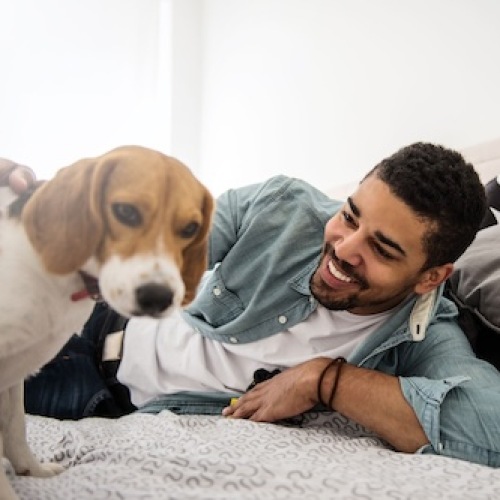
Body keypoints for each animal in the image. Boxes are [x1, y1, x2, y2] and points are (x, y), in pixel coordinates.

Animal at [0, 146, 213, 498]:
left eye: (190, 228)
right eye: (125, 212)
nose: (158, 297)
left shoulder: (15, 373)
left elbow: (15, 425)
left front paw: (32, 470)